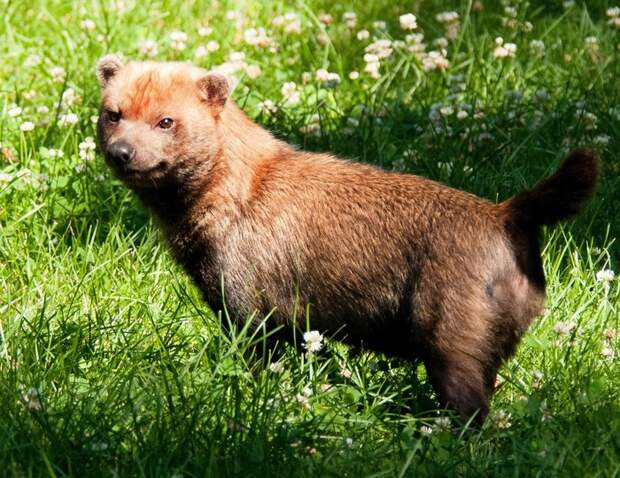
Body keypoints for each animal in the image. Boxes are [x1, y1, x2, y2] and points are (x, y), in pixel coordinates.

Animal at [95, 56, 596, 422]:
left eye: (166, 120)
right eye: (113, 113)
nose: (121, 152)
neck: (239, 188)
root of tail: (505, 213)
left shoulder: (251, 311)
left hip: (453, 348)